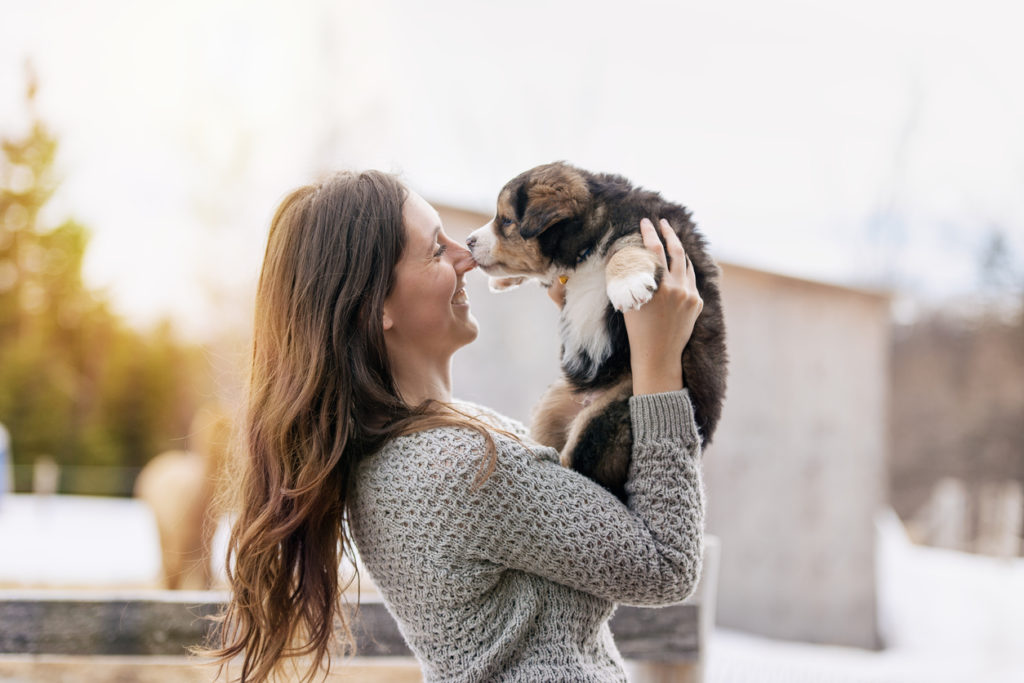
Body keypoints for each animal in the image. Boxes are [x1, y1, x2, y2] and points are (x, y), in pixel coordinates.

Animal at [468, 162, 724, 499]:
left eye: (507, 220)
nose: (468, 241)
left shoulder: (653, 232)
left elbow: (625, 247)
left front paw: (628, 285)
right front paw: (502, 281)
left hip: (612, 412)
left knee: (585, 469)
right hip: (553, 403)